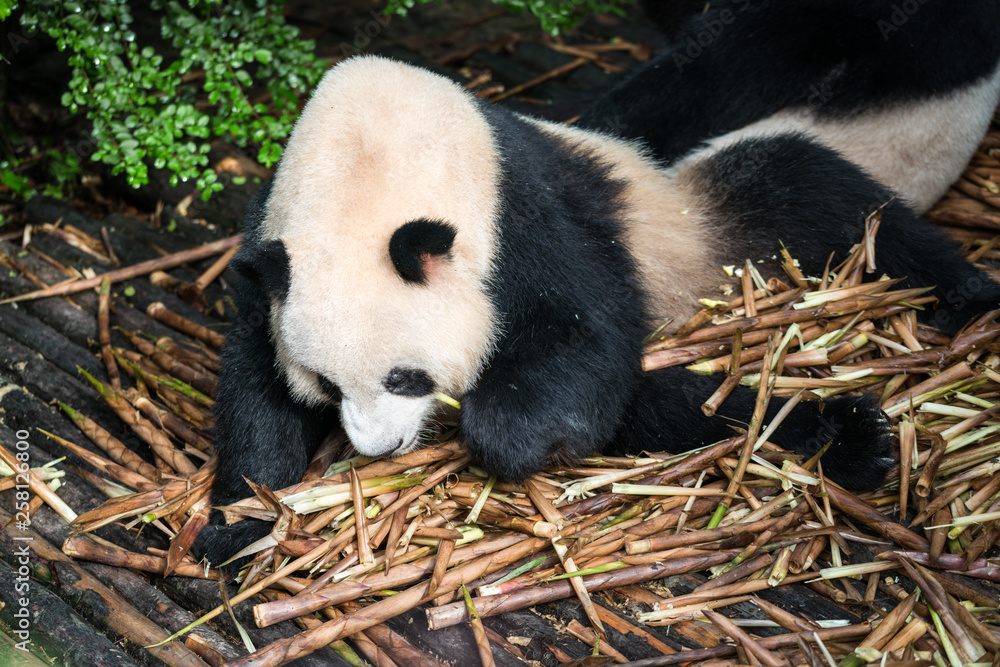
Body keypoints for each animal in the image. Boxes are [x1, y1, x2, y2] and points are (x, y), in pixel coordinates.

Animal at [193, 0, 1000, 568]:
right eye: (328, 386)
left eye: (405, 377)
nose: (378, 447)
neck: (372, 154)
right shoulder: (271, 240)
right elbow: (256, 383)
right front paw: (238, 524)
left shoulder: (519, 209)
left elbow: (584, 335)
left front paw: (497, 428)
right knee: (664, 404)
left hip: (697, 225)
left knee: (806, 193)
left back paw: (905, 369)